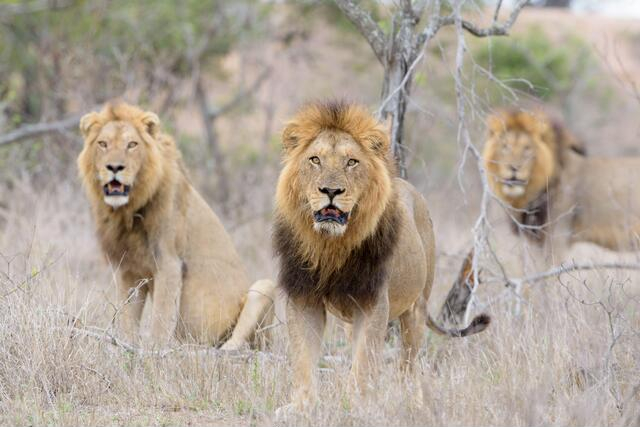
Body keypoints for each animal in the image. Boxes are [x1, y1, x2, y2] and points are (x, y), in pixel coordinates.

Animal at [77, 102, 275, 349]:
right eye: (103, 144)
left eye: (131, 144)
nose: (114, 167)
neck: (128, 211)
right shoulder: (129, 269)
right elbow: (127, 318)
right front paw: (126, 346)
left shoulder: (169, 264)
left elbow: (161, 321)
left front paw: (154, 352)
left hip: (264, 289)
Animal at [273, 100, 490, 411]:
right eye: (314, 160)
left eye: (352, 162)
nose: (330, 190)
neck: (332, 245)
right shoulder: (304, 297)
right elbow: (303, 357)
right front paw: (302, 407)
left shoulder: (373, 301)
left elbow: (365, 361)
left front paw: (357, 406)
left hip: (416, 307)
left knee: (408, 363)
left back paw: (408, 398)